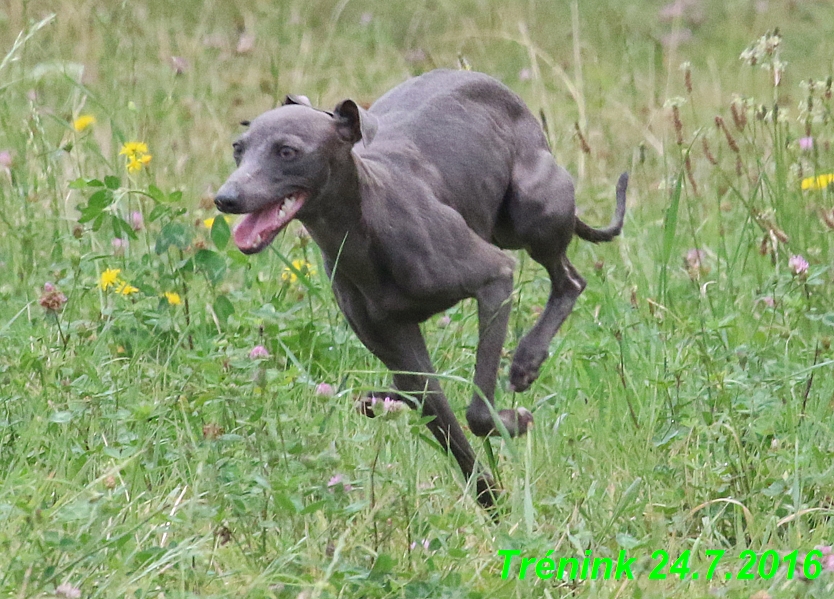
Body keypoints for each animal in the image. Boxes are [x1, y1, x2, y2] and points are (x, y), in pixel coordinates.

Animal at [214, 70, 624, 510]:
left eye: (287, 151)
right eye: (238, 148)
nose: (225, 199)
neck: (367, 227)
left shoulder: (494, 278)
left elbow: (477, 413)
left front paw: (514, 421)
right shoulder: (397, 344)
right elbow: (449, 429)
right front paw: (491, 503)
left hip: (530, 214)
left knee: (569, 279)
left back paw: (525, 361)